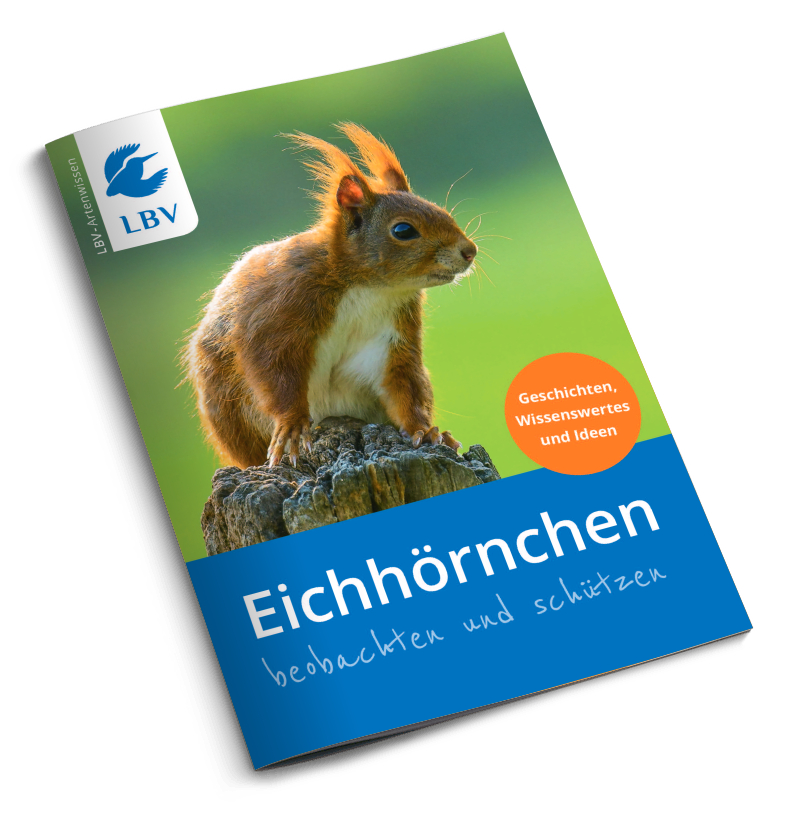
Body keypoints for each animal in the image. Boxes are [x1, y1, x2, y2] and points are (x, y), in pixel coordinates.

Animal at [184, 123, 477, 469]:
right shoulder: (277, 313)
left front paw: (425, 431)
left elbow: (403, 387)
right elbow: (274, 375)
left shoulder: (392, 338)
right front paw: (292, 426)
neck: (367, 288)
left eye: (442, 212)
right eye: (403, 230)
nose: (470, 251)